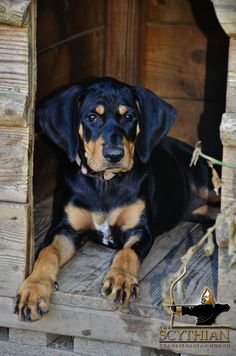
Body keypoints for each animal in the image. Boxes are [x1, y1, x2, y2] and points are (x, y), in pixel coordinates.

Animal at [14, 76, 218, 322]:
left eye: (129, 117)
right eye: (92, 117)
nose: (114, 155)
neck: (105, 183)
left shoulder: (141, 230)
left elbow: (127, 253)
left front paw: (120, 279)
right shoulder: (65, 229)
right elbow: (47, 253)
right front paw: (34, 289)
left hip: (208, 187)